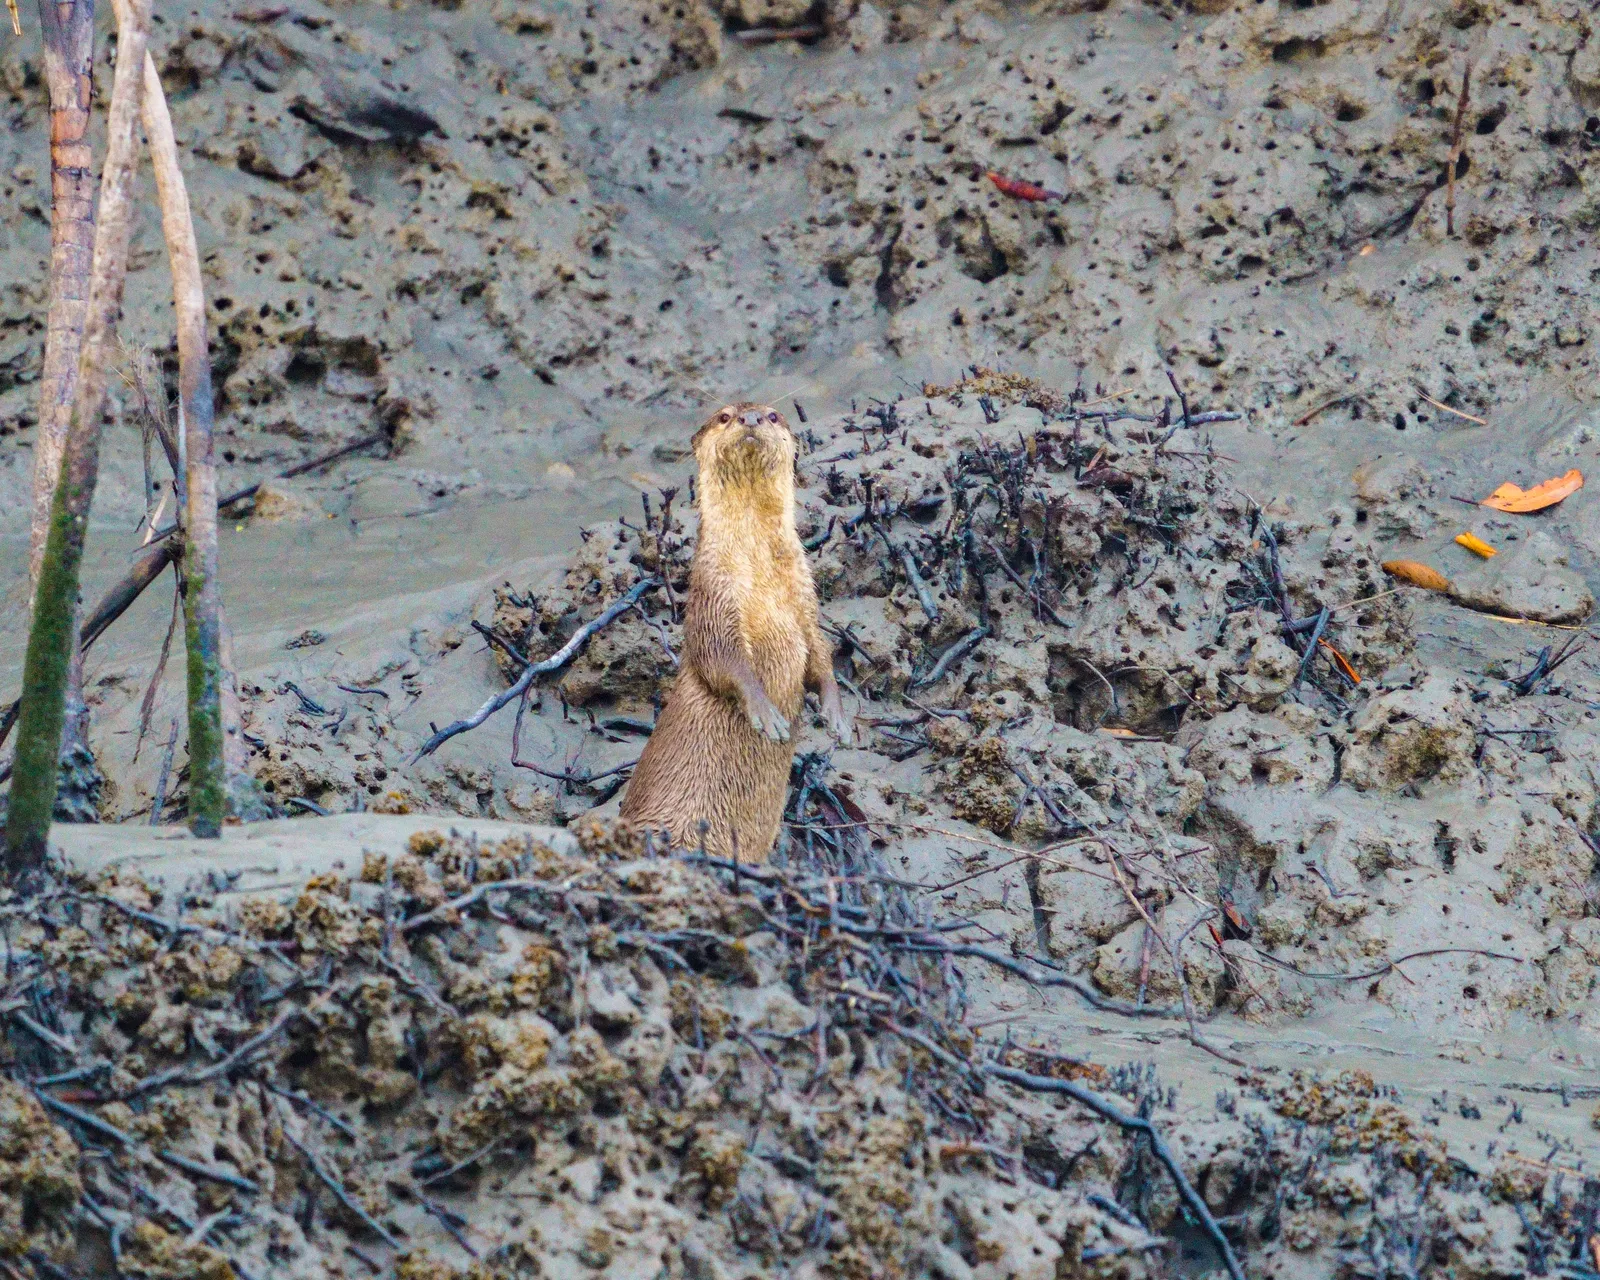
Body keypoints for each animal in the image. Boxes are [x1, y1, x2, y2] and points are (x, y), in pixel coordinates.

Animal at [620, 401, 851, 861]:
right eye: (724, 416)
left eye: (775, 415)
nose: (751, 418)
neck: (761, 581)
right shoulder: (714, 594)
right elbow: (721, 658)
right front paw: (766, 713)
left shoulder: (805, 598)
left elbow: (820, 653)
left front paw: (835, 714)